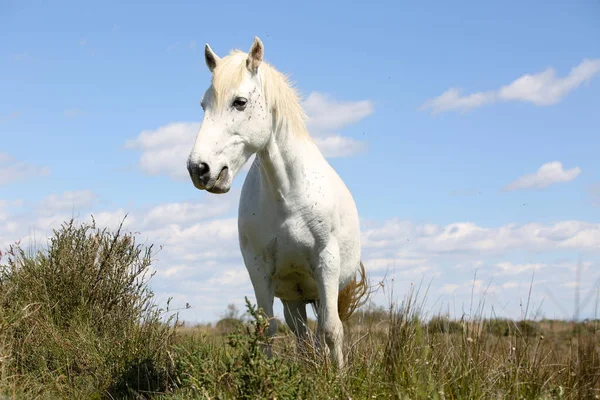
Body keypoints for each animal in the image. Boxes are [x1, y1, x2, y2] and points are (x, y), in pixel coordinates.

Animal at [186, 37, 366, 368]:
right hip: (294, 299)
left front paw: (339, 377)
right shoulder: (259, 270)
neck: (289, 195)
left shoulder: (327, 265)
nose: (200, 169)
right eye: (204, 105)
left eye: (240, 102)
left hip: (323, 292)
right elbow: (266, 330)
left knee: (323, 332)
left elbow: (333, 331)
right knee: (305, 339)